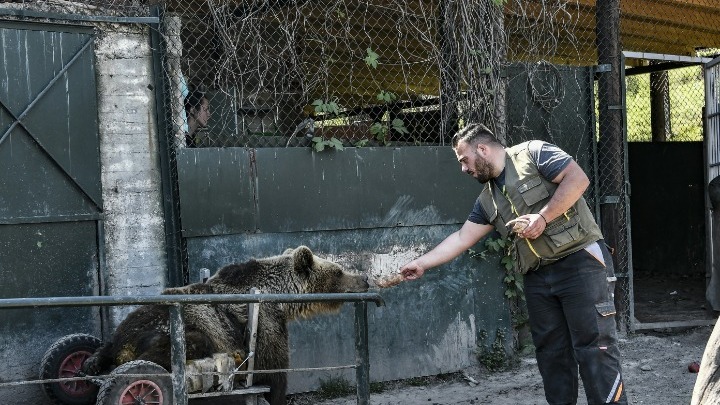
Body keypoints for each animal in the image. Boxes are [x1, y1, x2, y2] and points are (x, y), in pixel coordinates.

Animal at [81, 245, 368, 404]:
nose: (364, 279)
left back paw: (89, 363)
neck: (278, 297)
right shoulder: (265, 326)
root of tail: (122, 344)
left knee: (98, 351)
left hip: (123, 330)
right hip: (172, 330)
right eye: (338, 271)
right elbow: (275, 374)